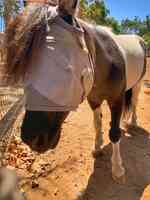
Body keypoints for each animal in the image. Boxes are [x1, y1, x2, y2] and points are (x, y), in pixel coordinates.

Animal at [4, 0, 146, 184]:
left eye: (66, 67)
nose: (32, 139)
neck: (108, 62)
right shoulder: (94, 99)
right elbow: (97, 124)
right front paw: (97, 148)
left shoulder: (116, 99)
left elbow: (114, 133)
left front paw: (117, 170)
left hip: (138, 84)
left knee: (134, 103)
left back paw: (134, 123)